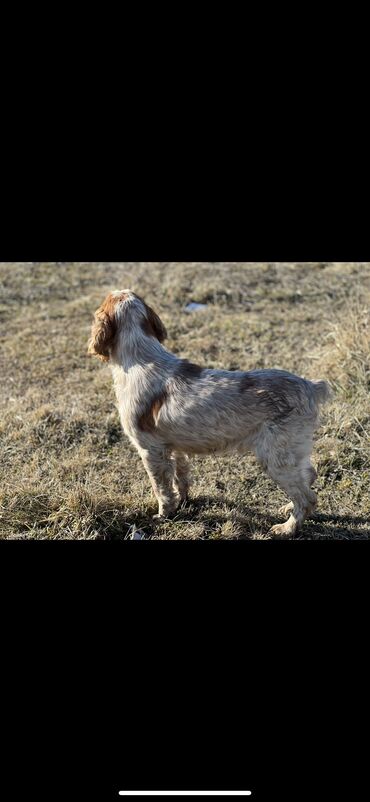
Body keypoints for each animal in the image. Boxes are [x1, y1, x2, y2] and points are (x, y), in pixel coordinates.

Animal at [88, 290, 330, 536]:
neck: (140, 356)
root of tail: (310, 386)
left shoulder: (150, 450)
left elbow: (161, 489)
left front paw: (163, 515)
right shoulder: (174, 448)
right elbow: (180, 478)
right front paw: (183, 501)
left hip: (276, 458)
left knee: (307, 498)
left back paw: (287, 527)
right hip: (293, 453)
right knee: (309, 476)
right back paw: (288, 507)